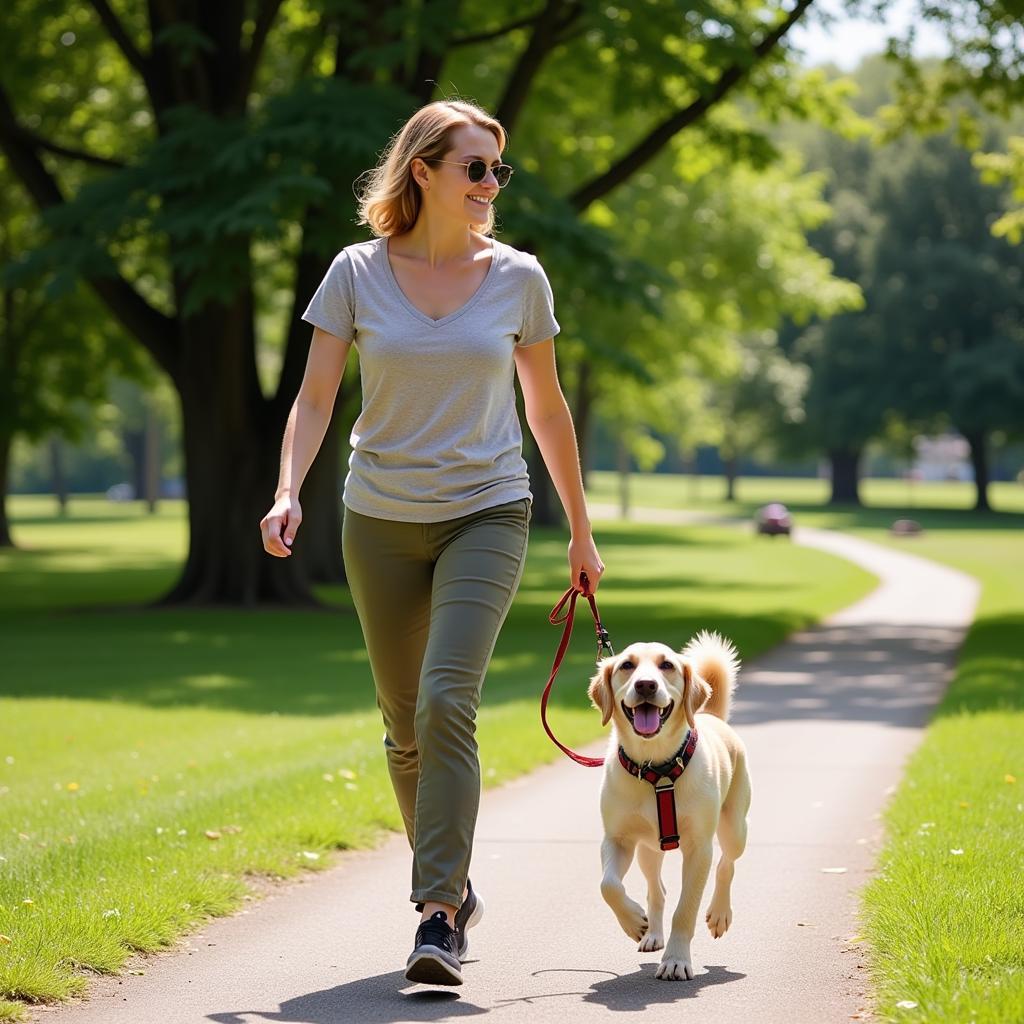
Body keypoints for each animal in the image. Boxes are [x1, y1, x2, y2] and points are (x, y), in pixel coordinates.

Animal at [589, 626, 749, 978]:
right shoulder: (617, 839)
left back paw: (719, 913)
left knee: (727, 864)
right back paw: (651, 933)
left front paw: (676, 960)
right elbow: (608, 886)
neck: (656, 767)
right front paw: (634, 922)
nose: (646, 685)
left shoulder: (699, 849)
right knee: (656, 889)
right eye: (627, 665)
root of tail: (708, 715)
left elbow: (685, 909)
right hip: (648, 850)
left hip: (735, 828)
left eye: (667, 665)